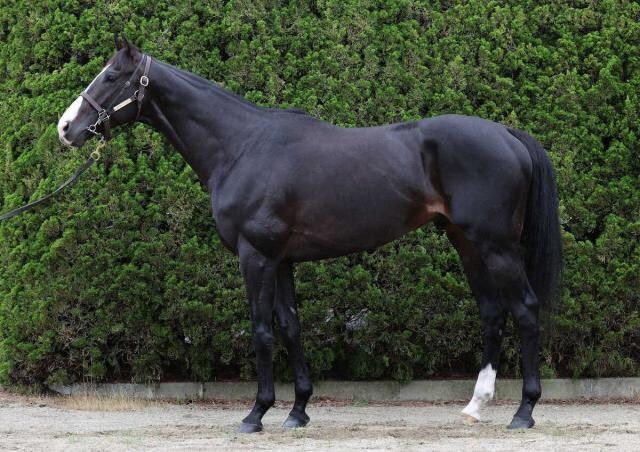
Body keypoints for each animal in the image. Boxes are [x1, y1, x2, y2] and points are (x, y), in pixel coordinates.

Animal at [57, 37, 562, 432]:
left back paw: (524, 412)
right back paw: (475, 406)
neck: (242, 147)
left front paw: (256, 414)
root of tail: (507, 134)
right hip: (466, 243)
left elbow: (261, 330)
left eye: (111, 76)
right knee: (492, 313)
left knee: (525, 310)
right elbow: (291, 327)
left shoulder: (255, 255)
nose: (65, 129)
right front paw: (297, 410)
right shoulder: (281, 259)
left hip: (497, 247)